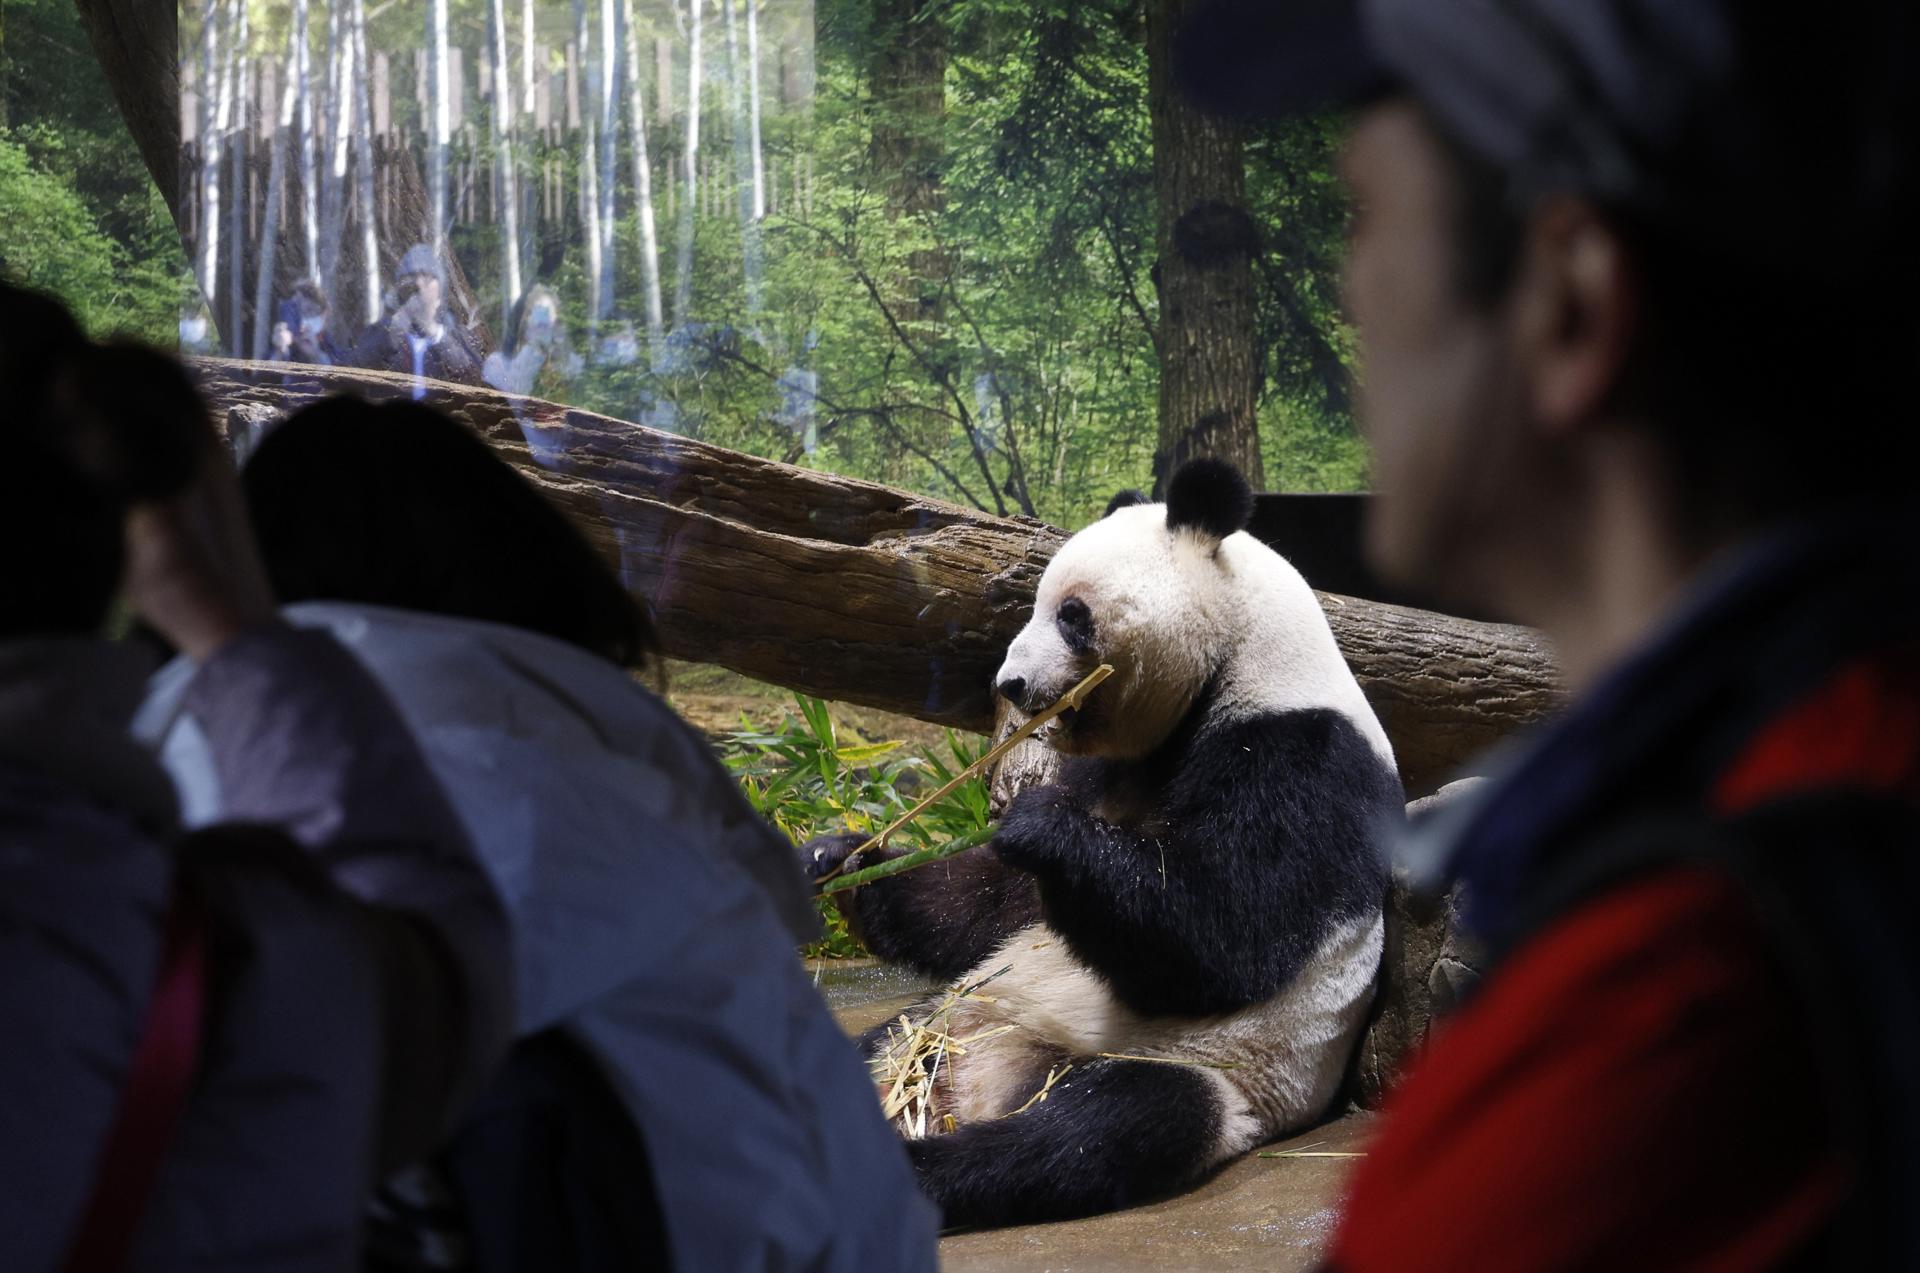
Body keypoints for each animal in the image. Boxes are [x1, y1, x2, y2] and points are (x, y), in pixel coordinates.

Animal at [804, 458, 1402, 1228]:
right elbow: (989, 907)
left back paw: (912, 1168)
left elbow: (1228, 937)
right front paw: (839, 860)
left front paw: (1037, 823)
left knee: (1090, 1131)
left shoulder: (1305, 757)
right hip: (944, 1012)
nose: (1011, 684)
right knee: (877, 1045)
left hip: (1205, 1070)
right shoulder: (1108, 773)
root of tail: (977, 1083)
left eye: (1071, 614)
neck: (1241, 658)